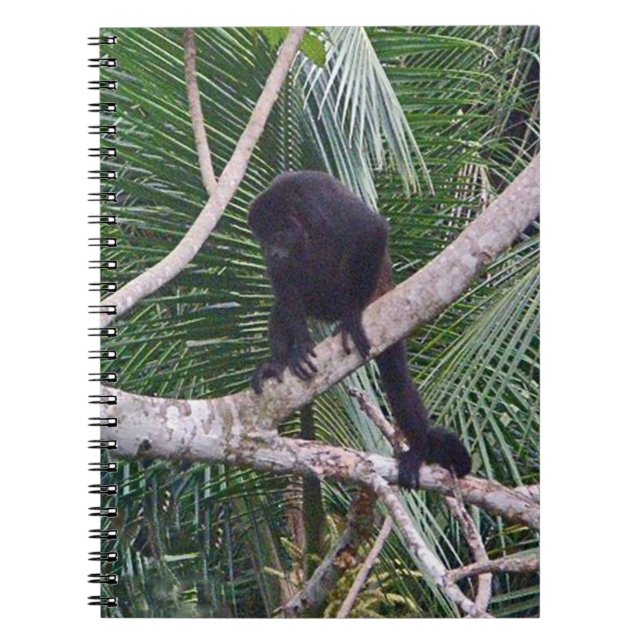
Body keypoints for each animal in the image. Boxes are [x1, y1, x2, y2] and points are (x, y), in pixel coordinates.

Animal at [248, 171, 471, 489]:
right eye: (263, 240)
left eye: (278, 235)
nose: (273, 252)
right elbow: (282, 284)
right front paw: (299, 347)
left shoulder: (320, 201)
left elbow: (371, 229)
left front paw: (353, 316)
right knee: (282, 306)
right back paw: (277, 364)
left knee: (397, 379)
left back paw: (418, 448)